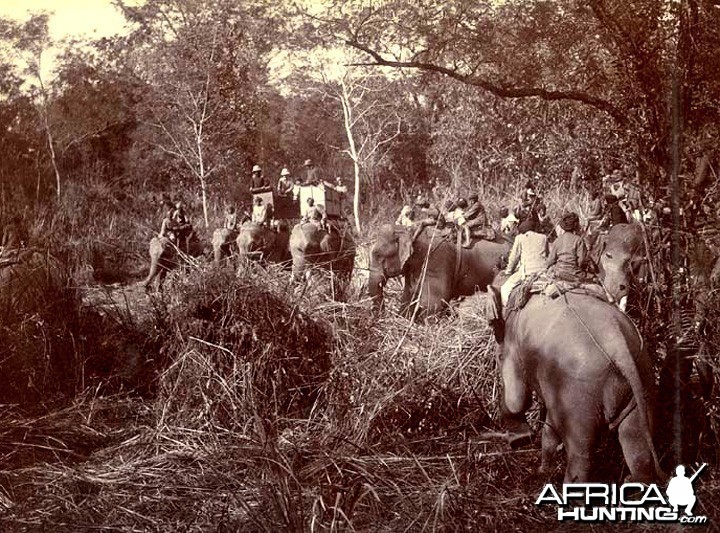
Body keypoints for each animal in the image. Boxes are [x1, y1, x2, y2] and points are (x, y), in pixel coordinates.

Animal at [498, 290, 660, 482]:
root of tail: (618, 347)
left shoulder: (512, 342)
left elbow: (517, 399)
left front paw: (520, 441)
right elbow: (549, 429)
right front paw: (543, 469)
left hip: (578, 395)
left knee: (580, 454)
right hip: (643, 378)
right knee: (636, 441)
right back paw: (632, 480)